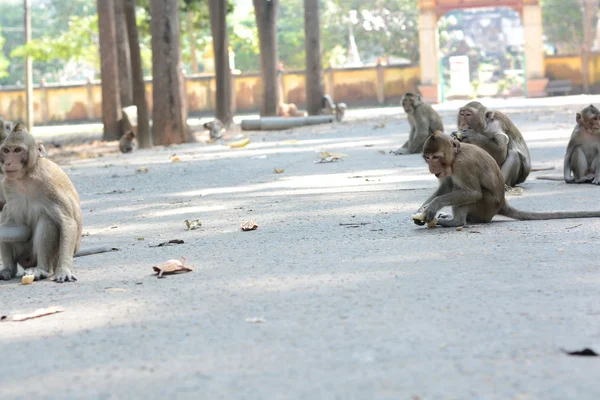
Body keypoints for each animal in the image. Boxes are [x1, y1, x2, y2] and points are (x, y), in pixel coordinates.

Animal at [414, 130, 600, 227]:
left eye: (436, 157)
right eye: (427, 158)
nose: (432, 167)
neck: (455, 157)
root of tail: (502, 203)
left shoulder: (463, 165)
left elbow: (473, 193)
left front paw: (433, 206)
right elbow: (445, 186)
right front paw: (422, 208)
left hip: (486, 206)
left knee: (471, 195)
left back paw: (457, 222)